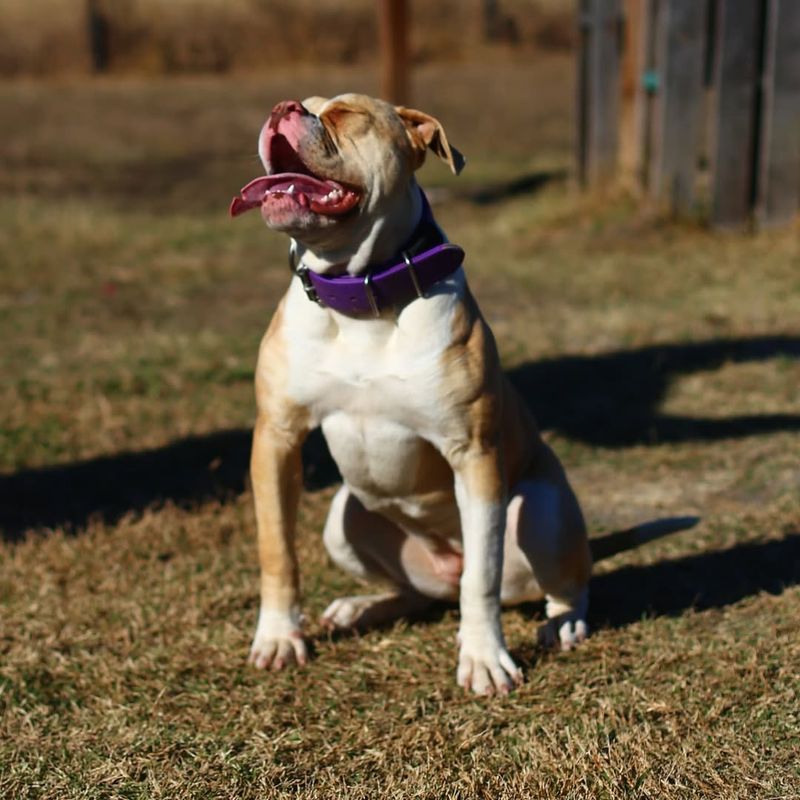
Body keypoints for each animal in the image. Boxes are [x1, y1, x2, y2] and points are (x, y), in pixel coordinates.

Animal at [230, 92, 688, 692]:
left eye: (347, 114)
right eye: (300, 105)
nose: (281, 108)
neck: (361, 294)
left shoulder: (475, 456)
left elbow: (483, 575)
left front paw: (485, 657)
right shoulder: (277, 438)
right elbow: (277, 551)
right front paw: (280, 637)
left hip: (541, 511)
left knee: (563, 580)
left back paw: (563, 622)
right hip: (341, 520)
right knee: (414, 591)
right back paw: (361, 607)